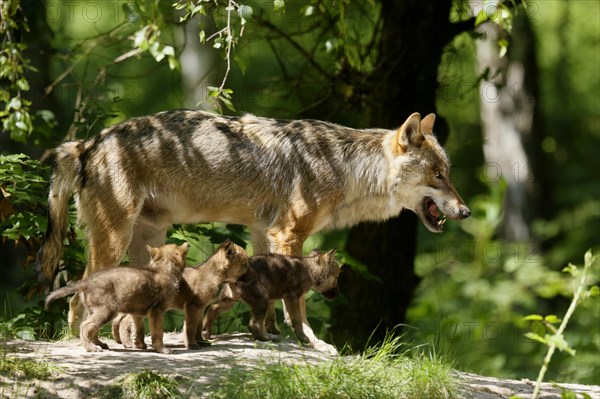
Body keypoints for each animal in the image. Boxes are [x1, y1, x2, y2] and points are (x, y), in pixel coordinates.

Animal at [37, 109, 472, 354]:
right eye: (438, 175)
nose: (466, 211)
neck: (346, 169)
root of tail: (85, 143)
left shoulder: (265, 233)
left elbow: (274, 302)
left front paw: (271, 334)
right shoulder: (289, 233)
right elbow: (300, 309)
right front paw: (312, 343)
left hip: (149, 244)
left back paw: (130, 342)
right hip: (115, 240)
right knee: (77, 298)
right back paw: (90, 344)